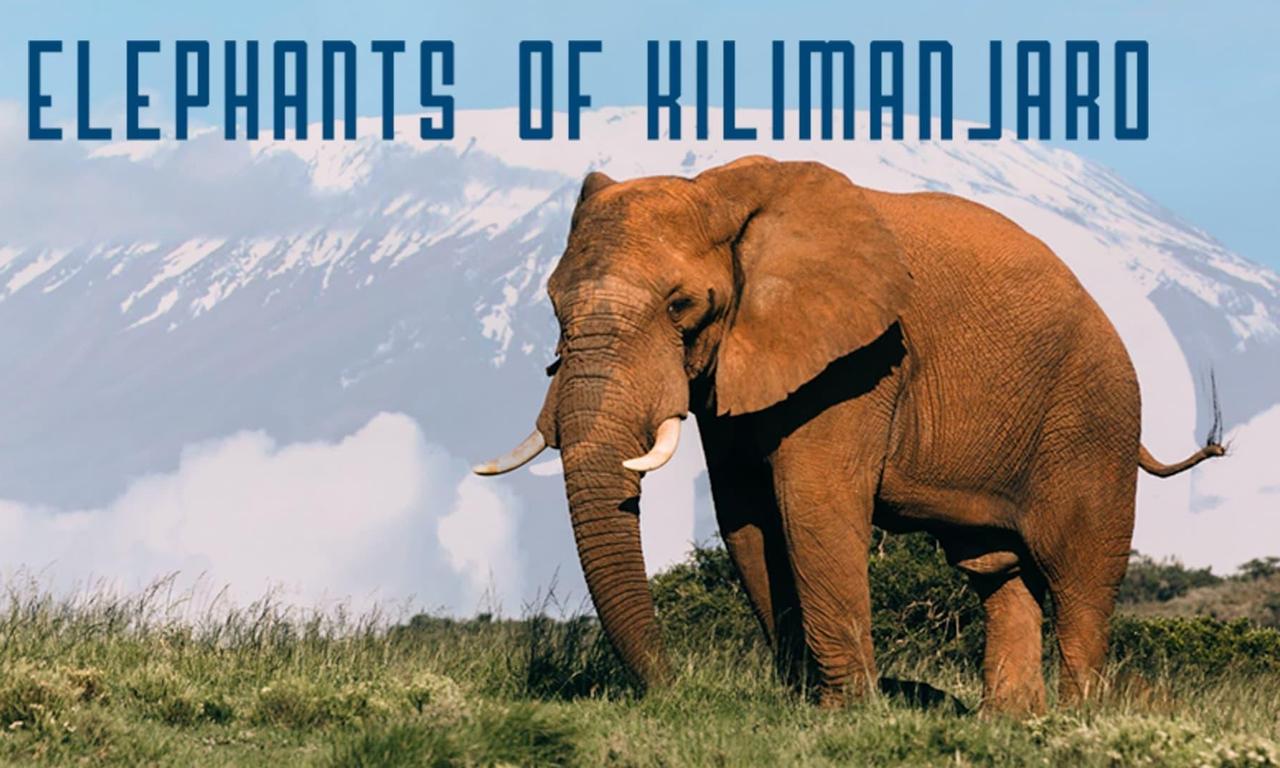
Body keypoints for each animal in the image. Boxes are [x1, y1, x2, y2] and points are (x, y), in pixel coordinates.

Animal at [474, 156, 1225, 714]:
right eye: (551, 306)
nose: (672, 691)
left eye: (682, 305)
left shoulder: (860, 360)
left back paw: (1076, 721)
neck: (723, 193)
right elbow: (746, 516)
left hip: (1094, 417)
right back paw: (1008, 724)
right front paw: (802, 704)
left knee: (1079, 575)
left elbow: (814, 503)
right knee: (998, 572)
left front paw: (847, 714)